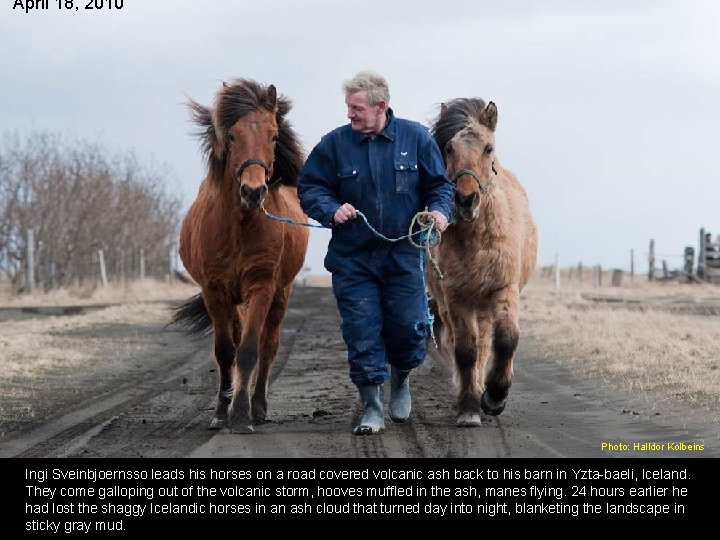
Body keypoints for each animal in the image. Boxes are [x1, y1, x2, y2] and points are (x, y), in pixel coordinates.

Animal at [174, 78, 310, 432]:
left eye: (273, 135)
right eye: (232, 136)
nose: (253, 192)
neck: (238, 226)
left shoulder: (261, 286)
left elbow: (249, 350)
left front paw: (240, 413)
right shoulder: (214, 291)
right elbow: (225, 351)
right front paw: (222, 411)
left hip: (280, 293)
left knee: (268, 344)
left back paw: (258, 406)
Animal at [428, 96, 536, 426]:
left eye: (488, 148)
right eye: (449, 149)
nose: (466, 201)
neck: (477, 239)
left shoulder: (504, 289)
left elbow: (507, 340)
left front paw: (495, 397)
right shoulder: (456, 298)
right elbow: (465, 350)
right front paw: (469, 407)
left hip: (486, 306)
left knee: (488, 342)